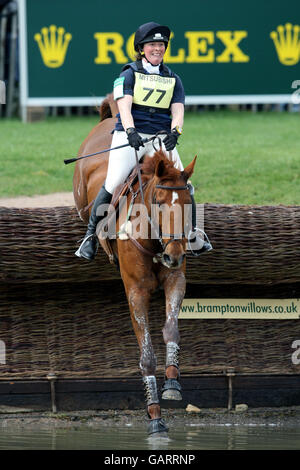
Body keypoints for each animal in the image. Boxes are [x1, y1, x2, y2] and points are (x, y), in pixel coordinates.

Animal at [73, 95, 197, 436]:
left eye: (188, 203)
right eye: (158, 202)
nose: (174, 254)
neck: (155, 242)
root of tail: (110, 118)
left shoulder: (176, 280)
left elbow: (171, 329)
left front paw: (172, 383)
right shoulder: (136, 292)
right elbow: (146, 354)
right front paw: (154, 416)